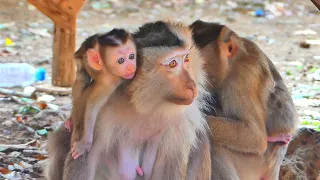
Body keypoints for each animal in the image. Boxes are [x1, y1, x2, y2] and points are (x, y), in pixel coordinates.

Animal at [43, 20, 211, 179]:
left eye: (187, 58)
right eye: (173, 63)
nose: (192, 85)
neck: (142, 103)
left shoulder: (183, 120)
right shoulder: (99, 105)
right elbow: (84, 158)